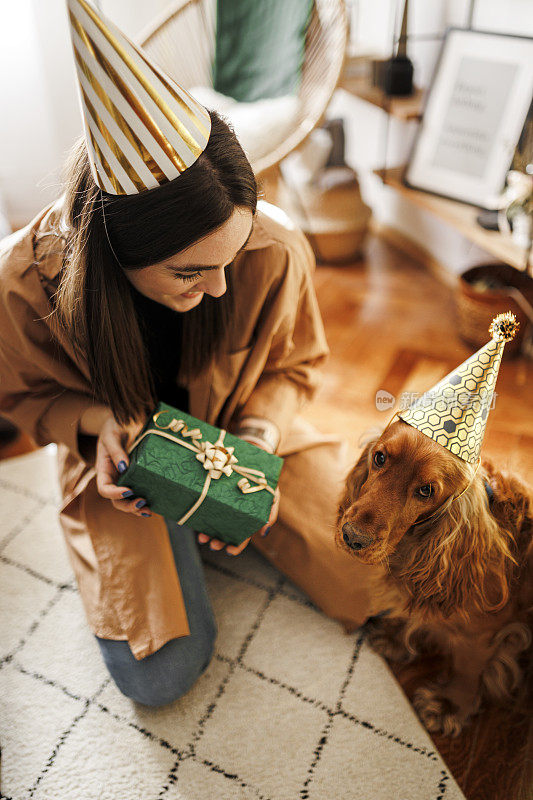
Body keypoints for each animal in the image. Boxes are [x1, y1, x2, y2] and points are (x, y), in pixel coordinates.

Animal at [336, 418, 532, 736]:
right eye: (380, 458)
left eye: (426, 490)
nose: (352, 537)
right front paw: (393, 638)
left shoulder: (485, 633)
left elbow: (468, 669)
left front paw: (448, 705)